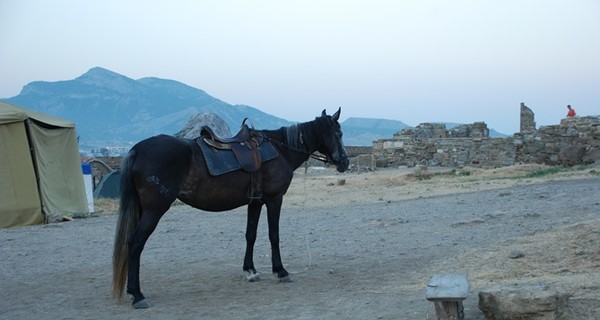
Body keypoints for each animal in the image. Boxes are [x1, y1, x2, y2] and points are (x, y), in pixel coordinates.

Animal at [111, 107, 352, 308]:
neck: (280, 149)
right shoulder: (274, 199)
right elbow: (274, 235)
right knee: (135, 244)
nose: (345, 162)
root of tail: (137, 149)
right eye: (338, 134)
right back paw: (137, 294)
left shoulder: (255, 202)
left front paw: (251, 271)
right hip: (154, 211)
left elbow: (250, 235)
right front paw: (280, 271)